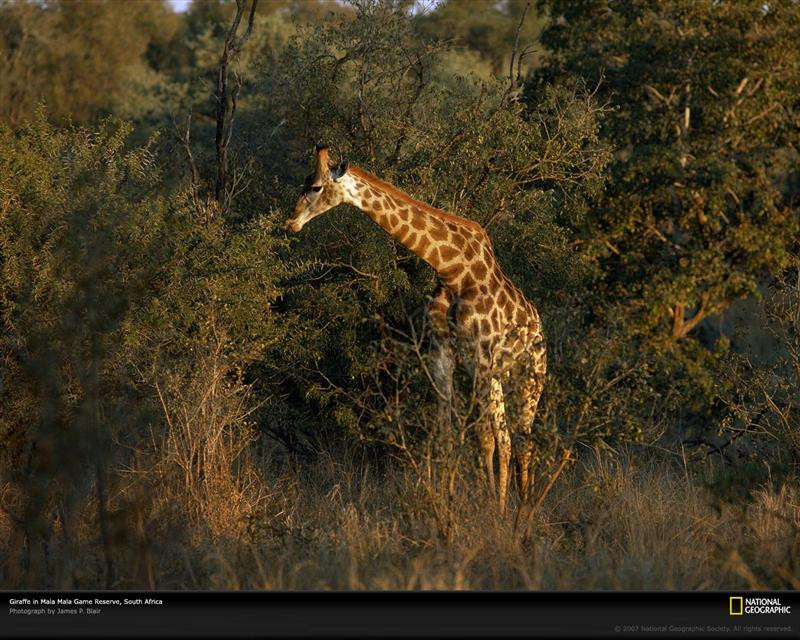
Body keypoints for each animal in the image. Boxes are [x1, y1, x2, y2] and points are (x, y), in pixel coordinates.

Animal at [284, 146, 548, 516]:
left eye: (317, 187)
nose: (290, 221)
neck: (454, 270)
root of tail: (538, 325)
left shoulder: (482, 359)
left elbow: (487, 439)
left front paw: (489, 513)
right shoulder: (443, 356)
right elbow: (447, 434)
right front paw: (448, 506)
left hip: (531, 374)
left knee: (522, 438)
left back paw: (522, 511)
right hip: (499, 376)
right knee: (507, 437)